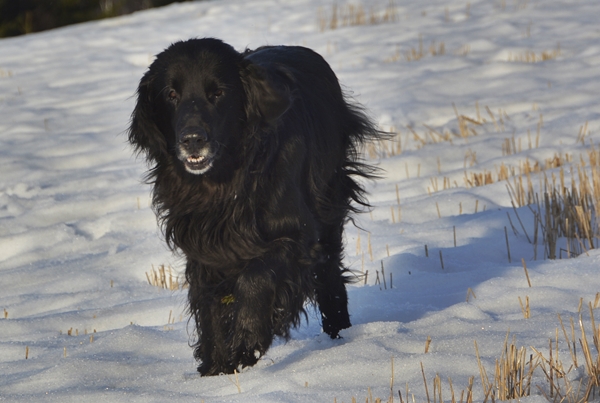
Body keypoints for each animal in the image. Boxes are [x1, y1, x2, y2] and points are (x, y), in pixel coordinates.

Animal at [128, 38, 382, 376]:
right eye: (171, 94)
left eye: (218, 93)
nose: (192, 139)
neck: (224, 182)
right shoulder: (204, 247)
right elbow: (208, 305)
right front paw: (216, 369)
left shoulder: (296, 235)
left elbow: (256, 277)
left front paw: (248, 342)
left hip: (328, 208)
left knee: (329, 275)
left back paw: (339, 334)